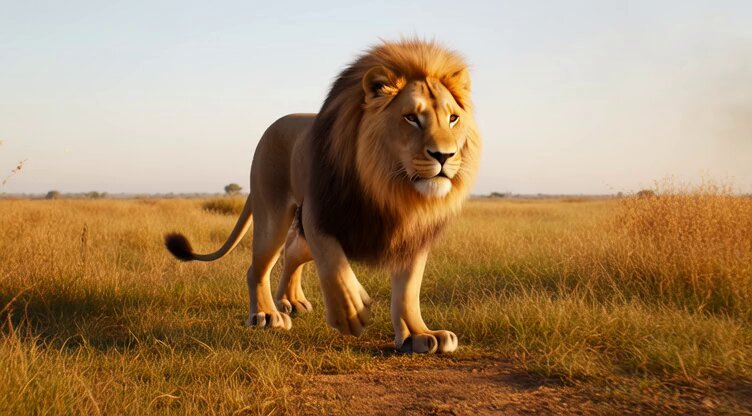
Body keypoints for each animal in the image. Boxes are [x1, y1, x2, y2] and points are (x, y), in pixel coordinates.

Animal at [165, 39, 481, 354]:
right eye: (411, 118)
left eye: (453, 119)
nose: (444, 155)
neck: (391, 189)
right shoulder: (319, 212)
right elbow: (333, 263)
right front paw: (351, 312)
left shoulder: (412, 235)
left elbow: (408, 289)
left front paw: (418, 334)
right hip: (273, 214)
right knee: (259, 267)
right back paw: (266, 314)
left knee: (292, 250)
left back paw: (291, 301)